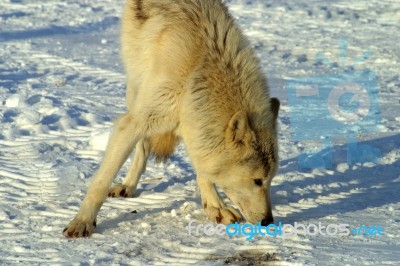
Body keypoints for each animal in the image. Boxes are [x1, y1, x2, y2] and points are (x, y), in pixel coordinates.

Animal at [64, 0, 280, 238]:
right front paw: (82, 222)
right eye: (257, 181)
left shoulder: (196, 127)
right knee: (142, 148)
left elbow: (204, 171)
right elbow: (100, 183)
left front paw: (216, 207)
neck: (196, 74)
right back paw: (128, 186)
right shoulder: (134, 123)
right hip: (136, 93)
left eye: (271, 179)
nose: (268, 221)